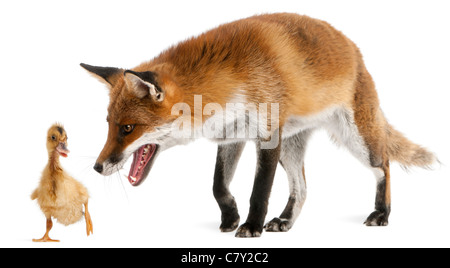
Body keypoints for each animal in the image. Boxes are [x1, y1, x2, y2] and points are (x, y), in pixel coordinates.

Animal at [81, 13, 436, 238]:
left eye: (127, 129)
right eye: (109, 125)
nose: (97, 167)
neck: (229, 78)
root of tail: (352, 47)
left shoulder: (267, 136)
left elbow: (259, 191)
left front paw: (250, 226)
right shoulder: (232, 136)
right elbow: (218, 186)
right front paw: (230, 217)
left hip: (357, 140)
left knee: (384, 165)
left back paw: (382, 214)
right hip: (290, 150)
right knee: (302, 188)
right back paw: (285, 221)